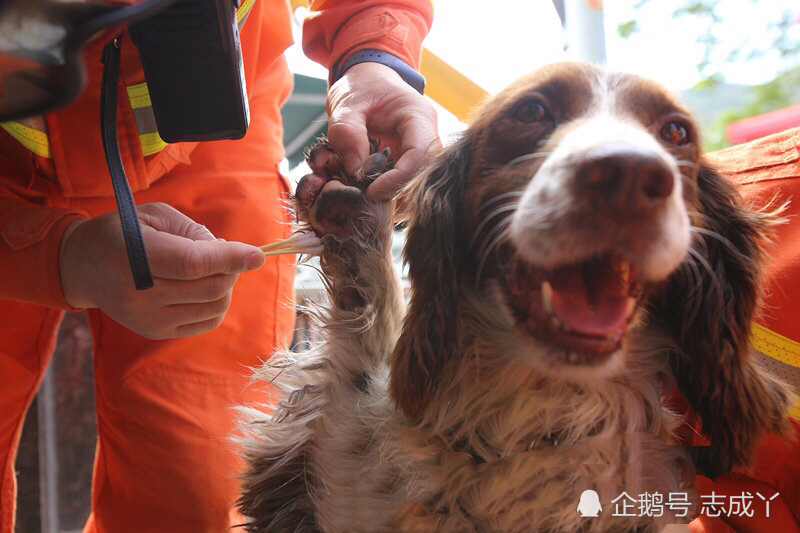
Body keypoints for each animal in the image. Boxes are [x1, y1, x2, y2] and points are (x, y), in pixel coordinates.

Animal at [234, 63, 792, 532]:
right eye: (532, 111)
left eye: (676, 132)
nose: (630, 175)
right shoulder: (352, 474)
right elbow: (362, 366)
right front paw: (355, 217)